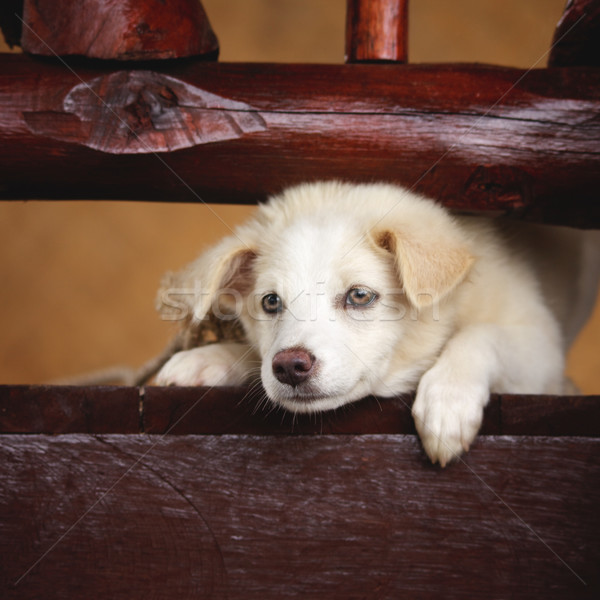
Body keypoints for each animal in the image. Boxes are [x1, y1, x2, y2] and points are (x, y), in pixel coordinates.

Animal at [156, 182, 600, 464]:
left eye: (359, 296)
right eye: (270, 302)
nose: (290, 367)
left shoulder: (541, 347)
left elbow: (482, 334)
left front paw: (448, 400)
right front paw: (207, 359)